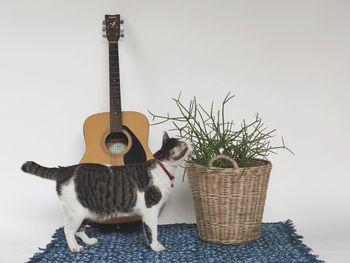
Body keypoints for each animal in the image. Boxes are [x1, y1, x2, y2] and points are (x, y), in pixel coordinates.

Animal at [21, 132, 191, 254]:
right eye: (183, 146)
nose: (188, 142)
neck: (163, 168)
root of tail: (64, 169)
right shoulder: (151, 211)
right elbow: (152, 231)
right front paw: (155, 246)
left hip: (85, 210)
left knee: (79, 230)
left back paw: (88, 241)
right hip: (76, 211)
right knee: (68, 230)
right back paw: (74, 247)